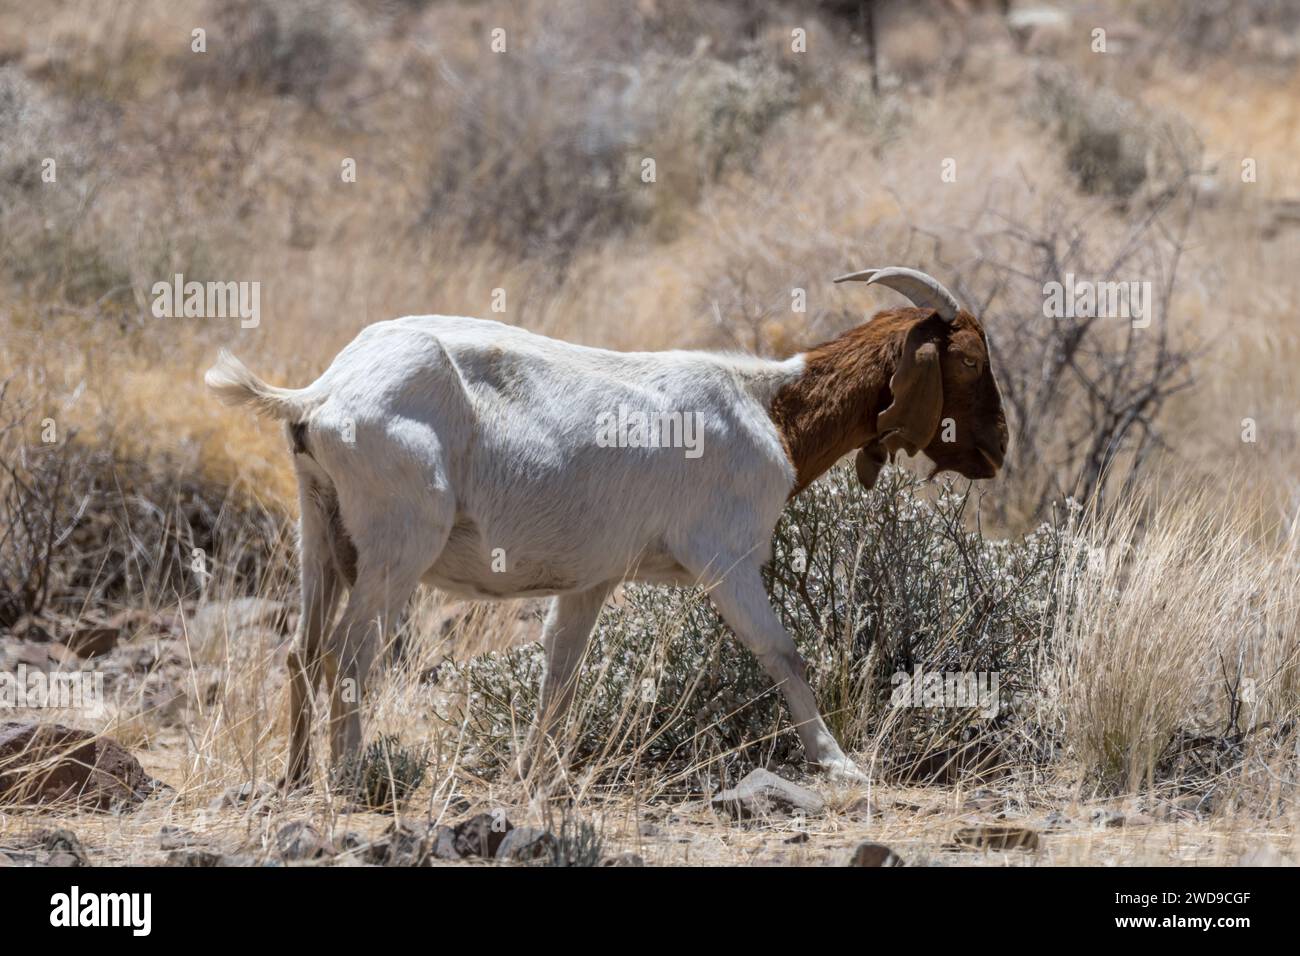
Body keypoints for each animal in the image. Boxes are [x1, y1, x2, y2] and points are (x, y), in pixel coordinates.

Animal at [208, 267, 1008, 785]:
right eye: (969, 361)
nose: (999, 447)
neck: (771, 409)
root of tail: (320, 395)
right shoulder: (725, 558)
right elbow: (783, 654)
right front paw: (840, 766)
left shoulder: (589, 580)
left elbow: (559, 674)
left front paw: (533, 775)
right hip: (397, 550)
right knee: (348, 655)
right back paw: (350, 778)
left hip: (320, 536)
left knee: (302, 652)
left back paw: (292, 779)